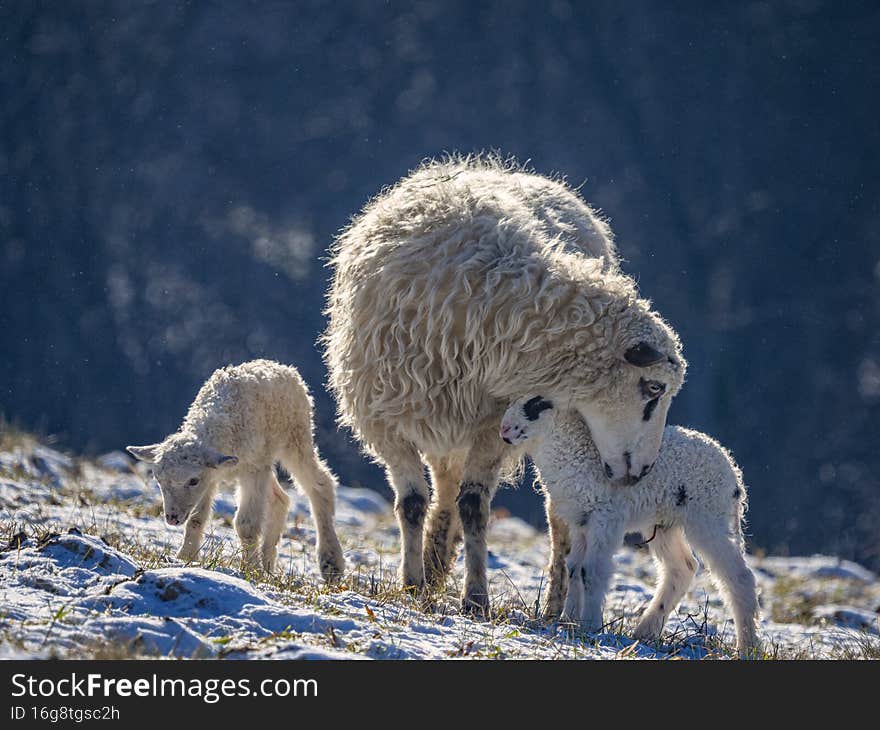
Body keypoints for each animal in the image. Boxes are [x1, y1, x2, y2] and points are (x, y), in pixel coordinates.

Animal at [126, 359, 345, 582]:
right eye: (158, 480)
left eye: (193, 480)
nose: (171, 518)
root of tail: (282, 367)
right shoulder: (213, 475)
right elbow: (196, 518)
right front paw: (185, 558)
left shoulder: (251, 469)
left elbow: (246, 525)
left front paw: (250, 569)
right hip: (267, 458)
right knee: (280, 498)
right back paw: (268, 563)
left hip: (296, 437)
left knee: (320, 484)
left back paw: (330, 563)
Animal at [322, 155, 687, 614]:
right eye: (654, 388)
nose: (641, 471)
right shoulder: (384, 420)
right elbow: (412, 503)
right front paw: (411, 583)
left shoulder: (492, 427)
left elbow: (474, 506)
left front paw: (475, 596)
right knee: (444, 487)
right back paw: (434, 567)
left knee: (556, 518)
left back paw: (553, 606)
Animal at [500, 394, 761, 657]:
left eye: (538, 404)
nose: (504, 430)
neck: (575, 452)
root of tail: (732, 471)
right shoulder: (580, 521)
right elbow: (574, 569)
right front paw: (570, 620)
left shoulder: (605, 518)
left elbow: (591, 571)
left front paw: (589, 626)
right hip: (665, 524)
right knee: (682, 567)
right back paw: (645, 631)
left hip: (707, 516)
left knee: (739, 577)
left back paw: (748, 646)